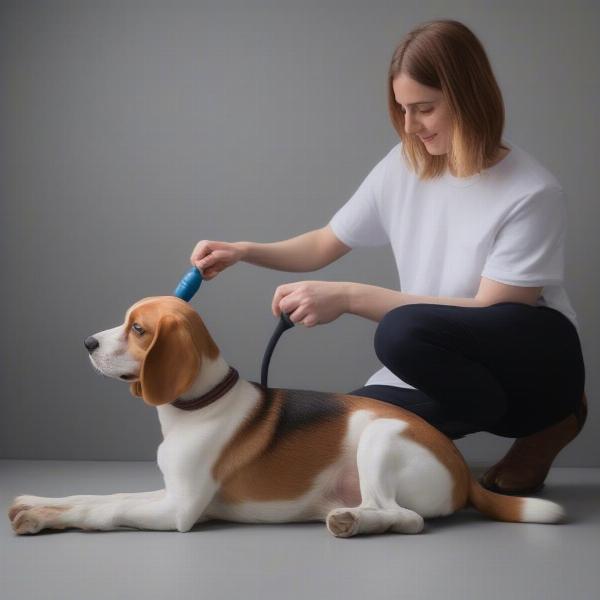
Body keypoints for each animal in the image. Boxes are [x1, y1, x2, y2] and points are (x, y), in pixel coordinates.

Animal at [8, 298, 564, 536]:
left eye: (138, 329)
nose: (87, 343)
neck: (199, 407)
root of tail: (462, 471)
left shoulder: (180, 510)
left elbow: (107, 510)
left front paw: (41, 518)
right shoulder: (169, 492)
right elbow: (99, 496)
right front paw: (38, 501)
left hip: (381, 436)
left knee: (406, 519)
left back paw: (353, 523)